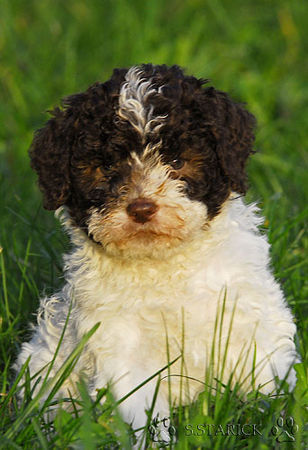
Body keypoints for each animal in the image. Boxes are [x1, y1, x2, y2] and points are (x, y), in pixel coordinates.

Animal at [15, 63, 298, 432]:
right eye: (107, 166)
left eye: (176, 161)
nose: (141, 208)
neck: (165, 265)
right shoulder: (121, 345)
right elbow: (139, 408)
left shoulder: (251, 322)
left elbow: (267, 384)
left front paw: (273, 425)